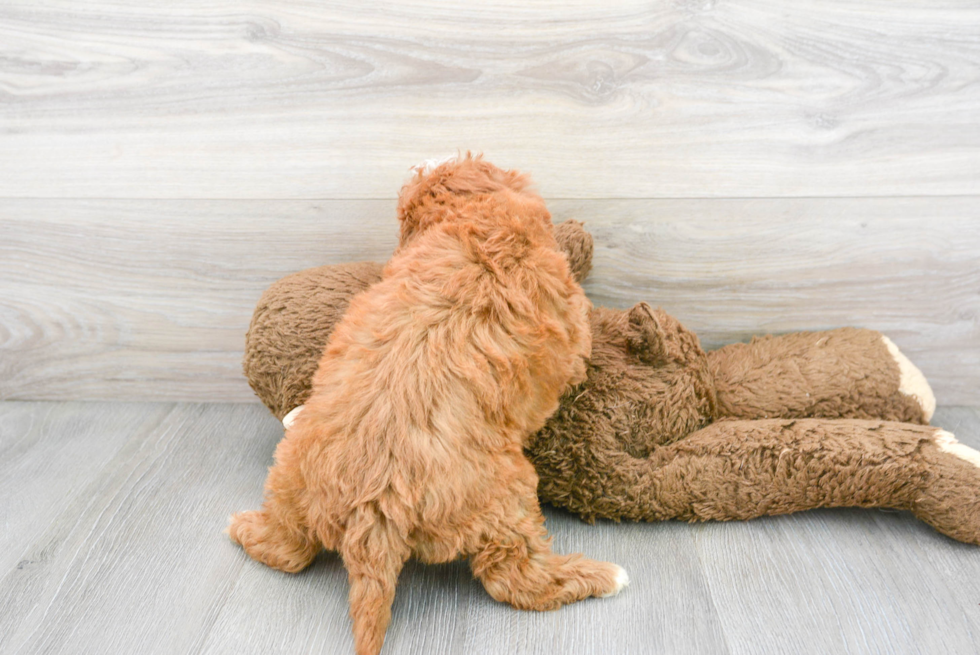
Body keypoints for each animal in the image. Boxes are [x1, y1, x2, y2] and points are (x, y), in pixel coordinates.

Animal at [229, 158, 628, 655]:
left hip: (290, 481)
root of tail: (374, 508)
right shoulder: (570, 332)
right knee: (516, 580)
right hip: (506, 498)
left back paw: (245, 525)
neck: (478, 225)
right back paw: (602, 576)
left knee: (287, 550)